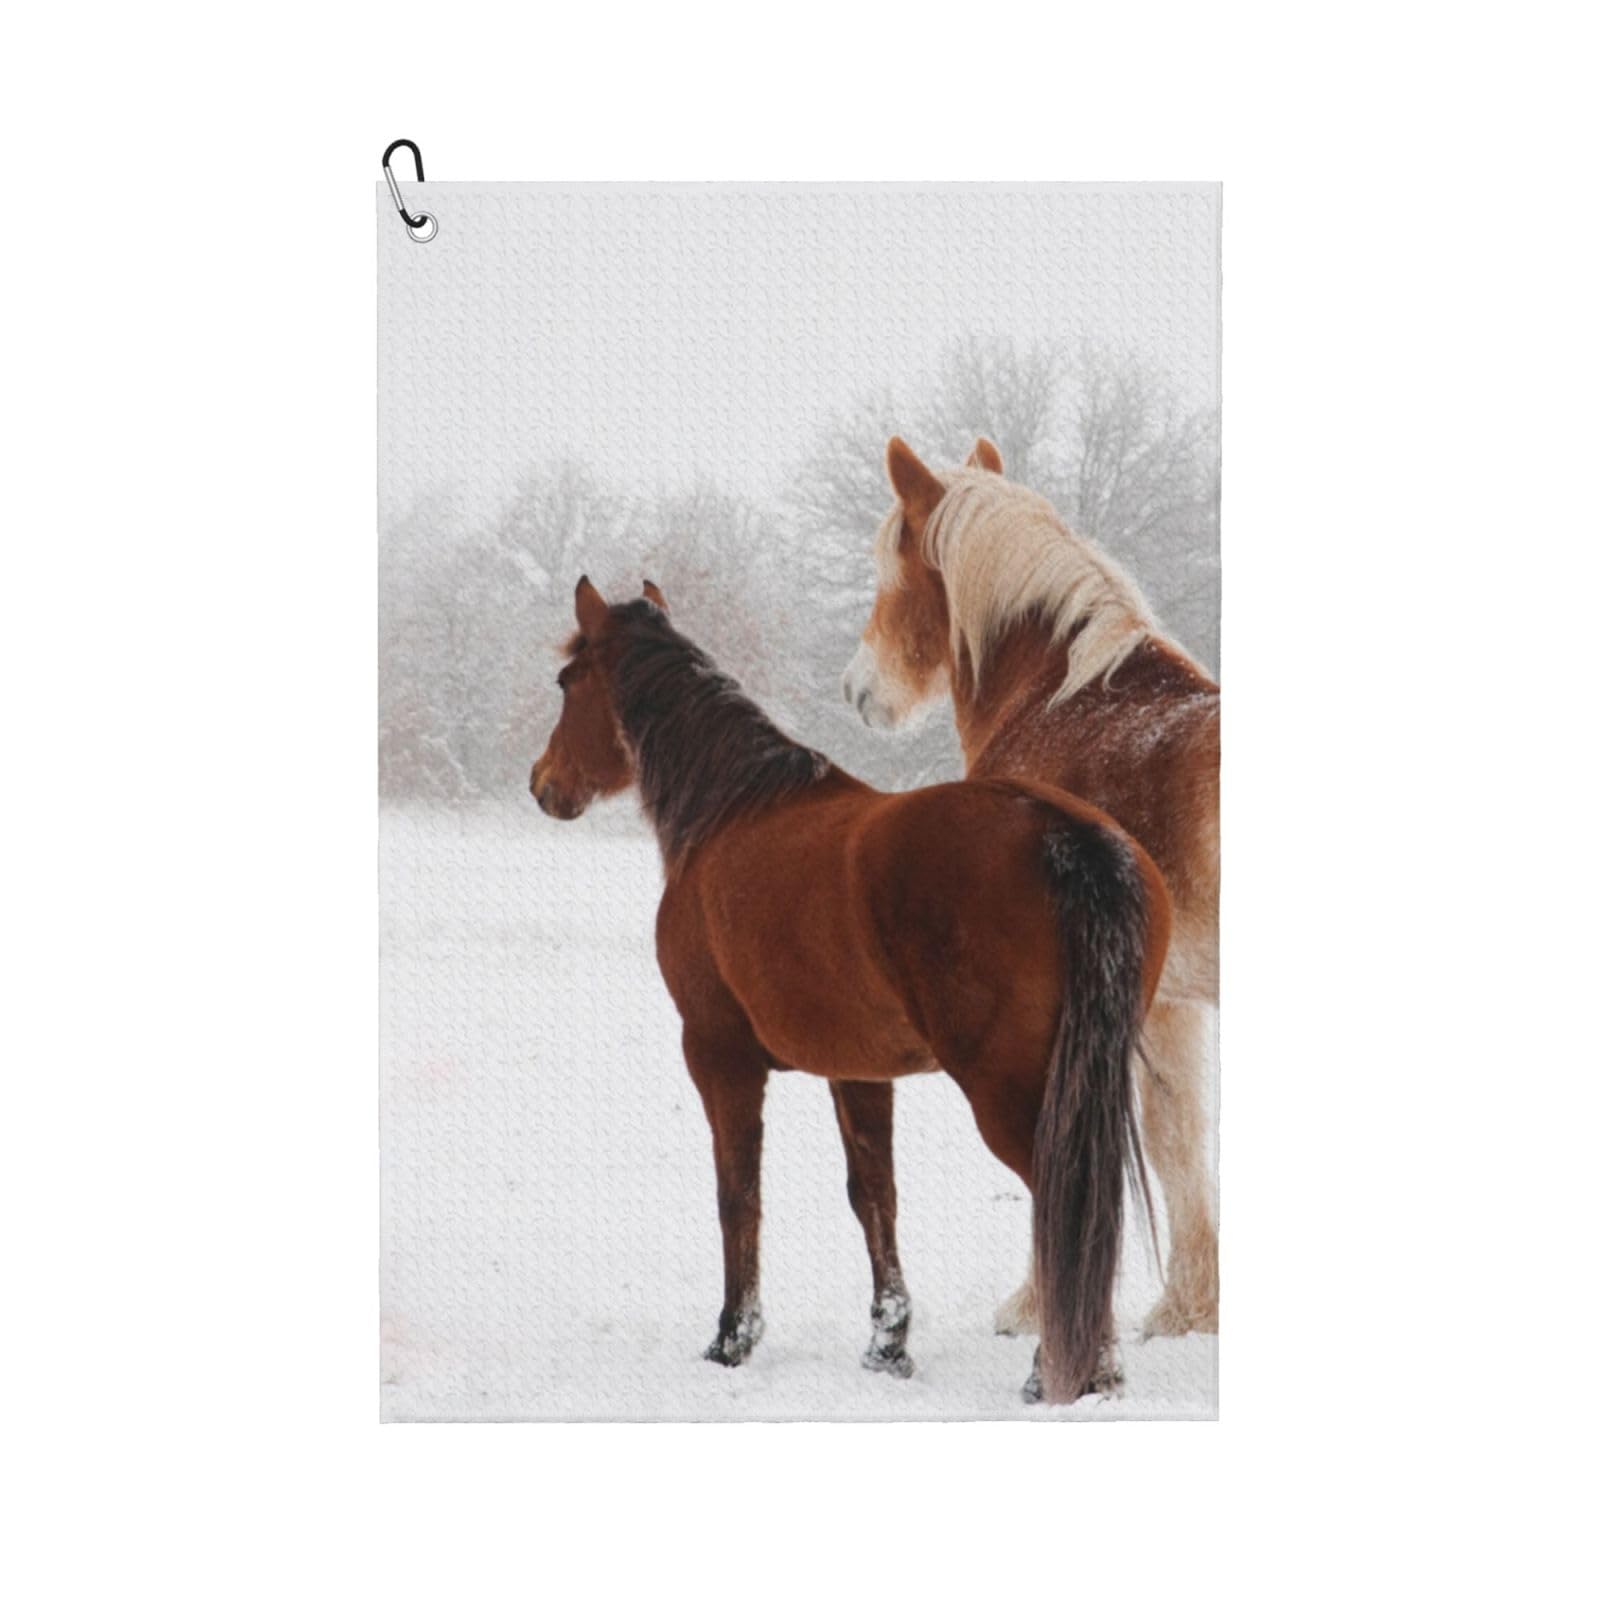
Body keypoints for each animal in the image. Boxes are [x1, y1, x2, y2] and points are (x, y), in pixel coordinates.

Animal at [530, 575, 1171, 1404]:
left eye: (567, 681)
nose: (544, 786)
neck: (731, 812)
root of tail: (1062, 831)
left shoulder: (717, 1055)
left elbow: (738, 1193)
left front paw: (732, 1339)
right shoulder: (859, 1072)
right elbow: (874, 1197)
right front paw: (887, 1346)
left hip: (1013, 1094)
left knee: (1067, 1205)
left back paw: (1063, 1374)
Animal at [842, 436, 1220, 1340]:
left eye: (887, 570)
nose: (857, 690)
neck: (1069, 711)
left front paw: (1035, 1306)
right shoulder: (1174, 1005)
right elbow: (1182, 1144)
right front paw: (1190, 1310)